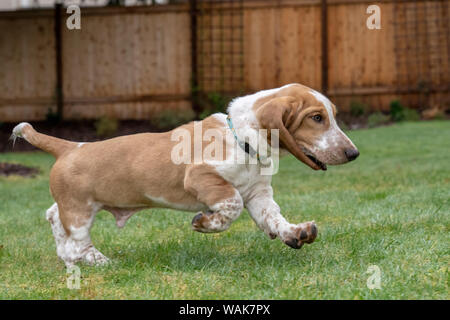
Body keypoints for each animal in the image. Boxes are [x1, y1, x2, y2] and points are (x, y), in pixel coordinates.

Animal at [11, 84, 358, 266]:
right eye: (316, 118)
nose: (354, 154)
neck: (240, 136)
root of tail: (69, 146)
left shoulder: (258, 195)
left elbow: (273, 218)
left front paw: (295, 233)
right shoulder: (204, 178)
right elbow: (230, 204)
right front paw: (205, 223)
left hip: (74, 206)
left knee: (54, 218)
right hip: (80, 210)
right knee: (78, 240)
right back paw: (98, 261)